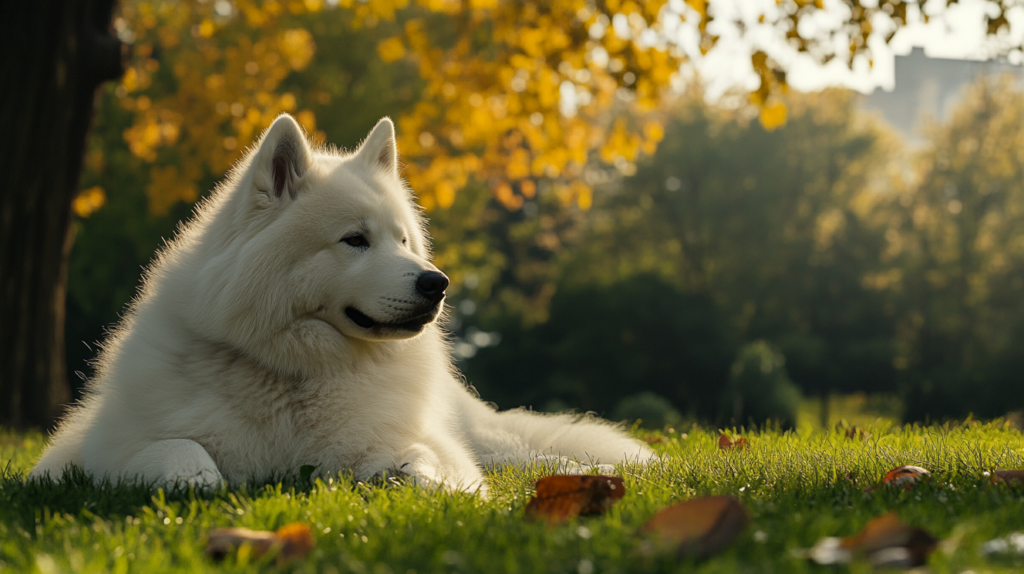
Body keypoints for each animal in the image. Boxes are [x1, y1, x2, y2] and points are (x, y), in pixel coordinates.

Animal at [34, 113, 655, 493]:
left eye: (402, 240)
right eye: (355, 240)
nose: (438, 283)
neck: (296, 373)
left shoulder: (410, 441)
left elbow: (425, 460)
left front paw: (430, 485)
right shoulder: (96, 448)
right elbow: (178, 449)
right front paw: (198, 482)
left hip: (489, 439)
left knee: (531, 456)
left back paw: (598, 470)